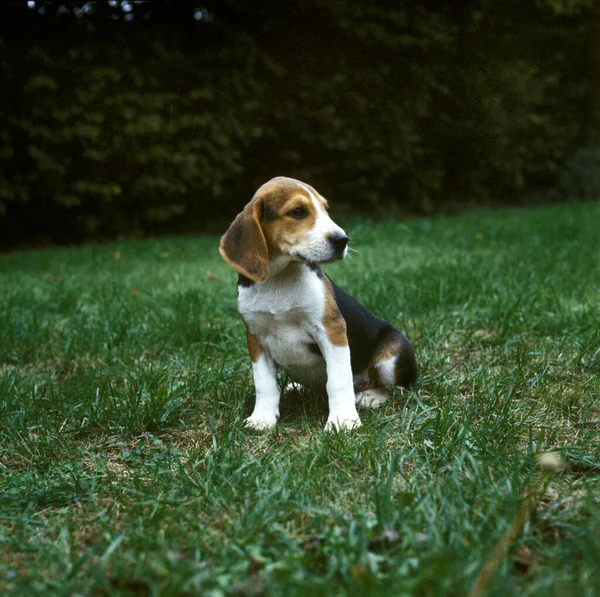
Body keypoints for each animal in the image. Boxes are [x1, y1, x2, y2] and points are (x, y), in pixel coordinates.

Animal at [218, 175, 414, 430]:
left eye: (325, 209)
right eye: (298, 211)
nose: (343, 240)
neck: (280, 278)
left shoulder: (332, 330)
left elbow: (339, 380)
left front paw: (343, 421)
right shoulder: (255, 336)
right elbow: (264, 384)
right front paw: (262, 418)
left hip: (392, 355)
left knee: (393, 387)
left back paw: (370, 396)